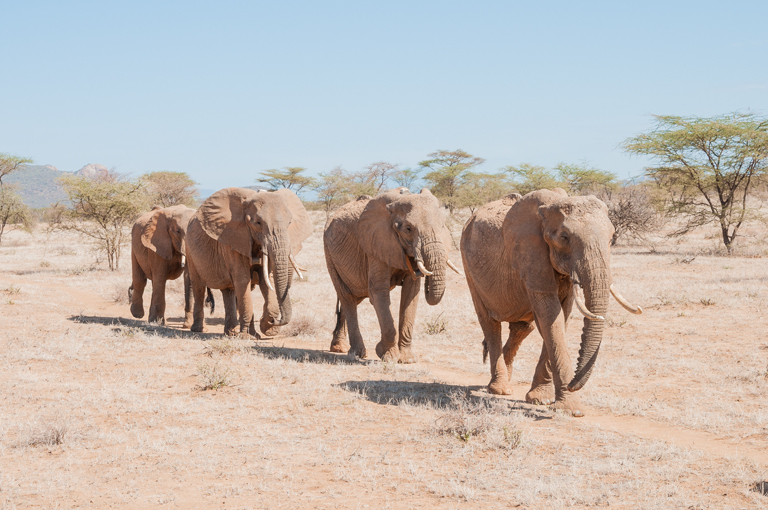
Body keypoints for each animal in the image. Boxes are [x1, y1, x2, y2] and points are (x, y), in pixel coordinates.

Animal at [185, 188, 312, 338]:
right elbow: (243, 280)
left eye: (289, 222)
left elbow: (266, 279)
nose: (275, 320)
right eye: (258, 223)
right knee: (198, 287)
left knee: (228, 290)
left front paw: (267, 329)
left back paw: (231, 333)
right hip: (189, 249)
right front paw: (248, 336)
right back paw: (200, 329)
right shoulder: (233, 239)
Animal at [324, 188, 462, 362]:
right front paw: (387, 355)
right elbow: (378, 292)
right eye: (408, 229)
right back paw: (356, 353)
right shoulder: (375, 244)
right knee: (347, 297)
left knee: (354, 297)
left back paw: (339, 348)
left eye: (443, 225)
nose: (425, 271)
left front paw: (407, 359)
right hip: (330, 255)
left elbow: (411, 292)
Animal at [462, 189, 640, 416]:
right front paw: (572, 409)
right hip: (468, 267)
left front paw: (541, 399)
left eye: (612, 238)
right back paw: (499, 389)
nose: (573, 384)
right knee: (490, 324)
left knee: (522, 328)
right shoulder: (532, 255)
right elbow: (550, 318)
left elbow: (561, 317)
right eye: (564, 238)